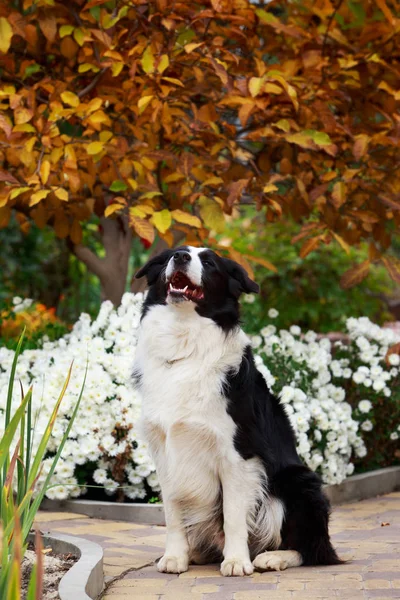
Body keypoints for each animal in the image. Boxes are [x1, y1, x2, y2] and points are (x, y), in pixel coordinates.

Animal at [134, 245, 340, 576]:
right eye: (174, 253)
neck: (185, 343)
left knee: (314, 549)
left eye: (208, 262)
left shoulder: (238, 454)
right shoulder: (165, 452)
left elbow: (232, 515)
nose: (180, 257)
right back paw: (199, 553)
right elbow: (172, 513)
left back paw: (271, 557)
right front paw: (175, 556)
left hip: (298, 484)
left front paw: (236, 561)